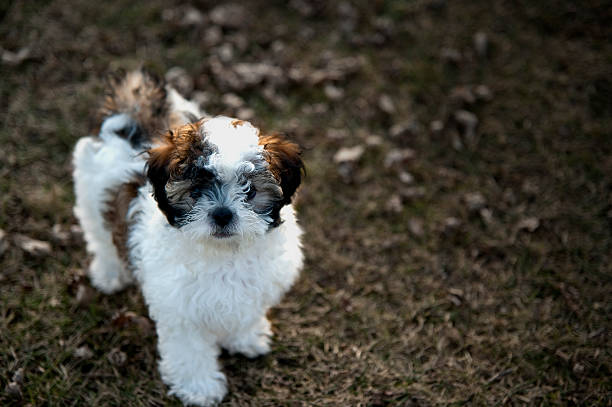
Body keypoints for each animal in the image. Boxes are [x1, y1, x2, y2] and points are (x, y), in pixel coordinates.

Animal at [72, 68, 306, 406]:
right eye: (195, 191)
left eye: (250, 190)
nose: (222, 214)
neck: (224, 252)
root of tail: (135, 117)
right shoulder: (180, 311)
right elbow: (190, 351)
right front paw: (200, 388)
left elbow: (244, 314)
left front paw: (246, 338)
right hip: (89, 196)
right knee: (101, 238)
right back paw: (110, 274)